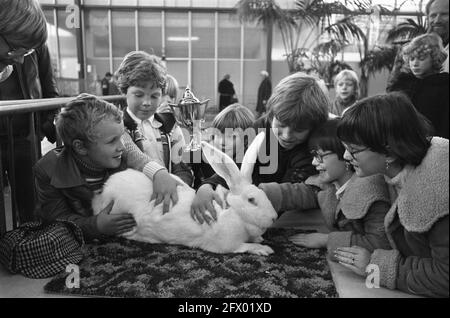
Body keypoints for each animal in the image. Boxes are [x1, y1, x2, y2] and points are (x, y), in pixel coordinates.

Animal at [91, 132, 278, 256]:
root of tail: (103, 193)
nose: (274, 217)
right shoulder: (227, 245)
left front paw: (259, 240)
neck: (236, 213)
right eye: (251, 200)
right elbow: (244, 247)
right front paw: (264, 249)